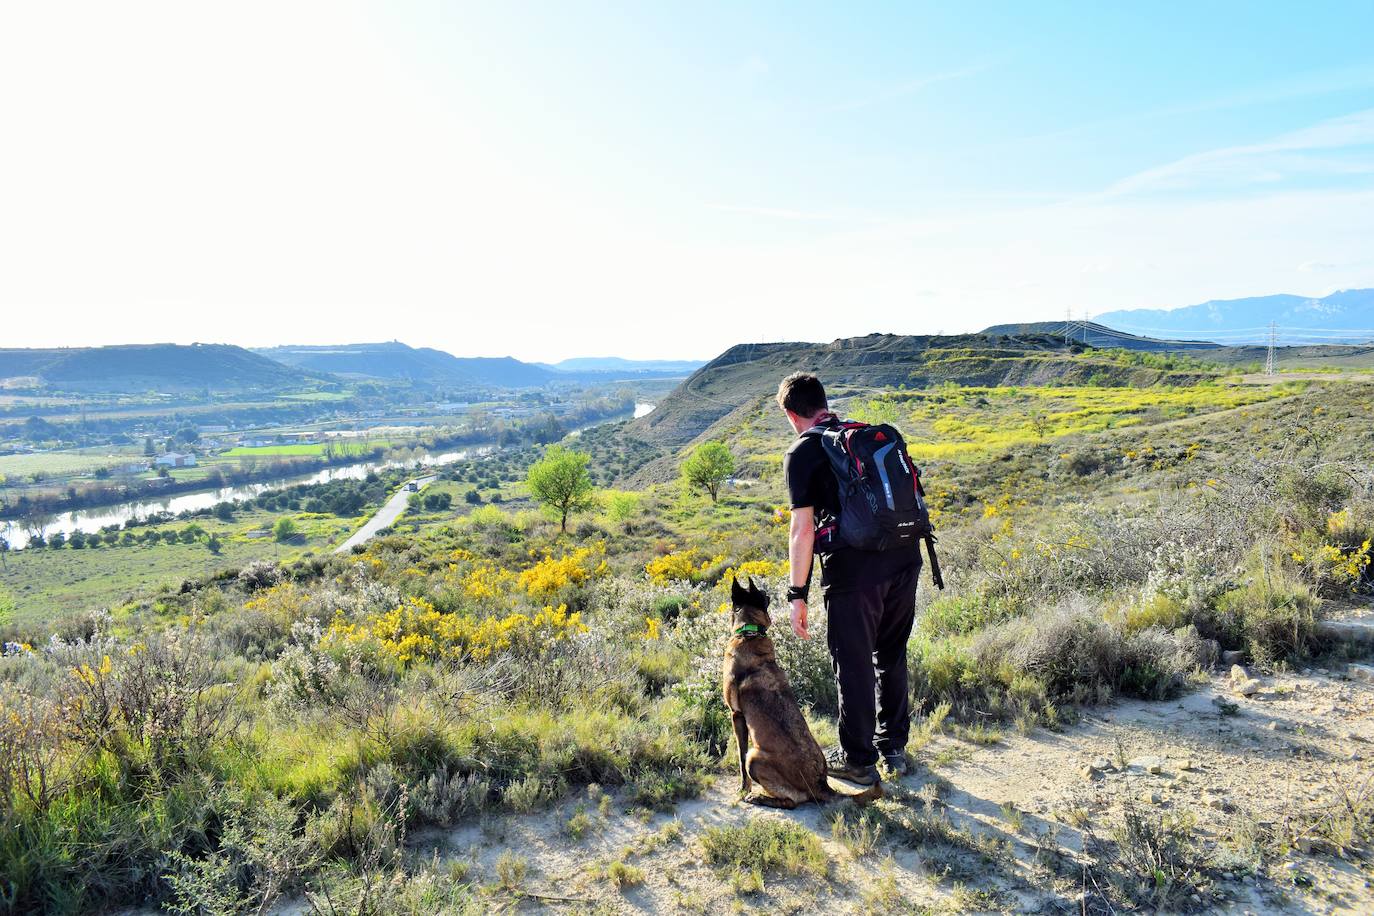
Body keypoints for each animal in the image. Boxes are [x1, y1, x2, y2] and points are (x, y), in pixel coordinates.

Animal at [725, 579, 862, 807]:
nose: (766, 591)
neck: (749, 634)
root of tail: (820, 783)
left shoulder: (736, 715)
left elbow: (740, 757)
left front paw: (743, 789)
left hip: (755, 757)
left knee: (791, 801)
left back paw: (759, 797)